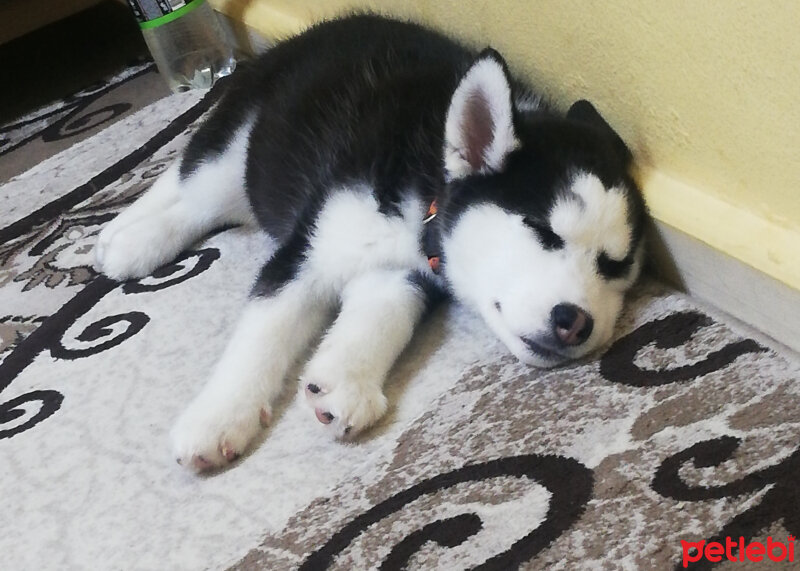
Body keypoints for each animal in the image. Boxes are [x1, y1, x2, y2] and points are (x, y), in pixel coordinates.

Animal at [94, 13, 648, 472]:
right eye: (540, 228)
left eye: (615, 267)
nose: (576, 322)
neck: (426, 190)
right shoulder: (308, 250)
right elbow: (264, 334)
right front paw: (217, 418)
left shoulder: (406, 269)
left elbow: (382, 317)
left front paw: (343, 380)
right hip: (239, 143)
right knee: (190, 183)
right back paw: (126, 238)